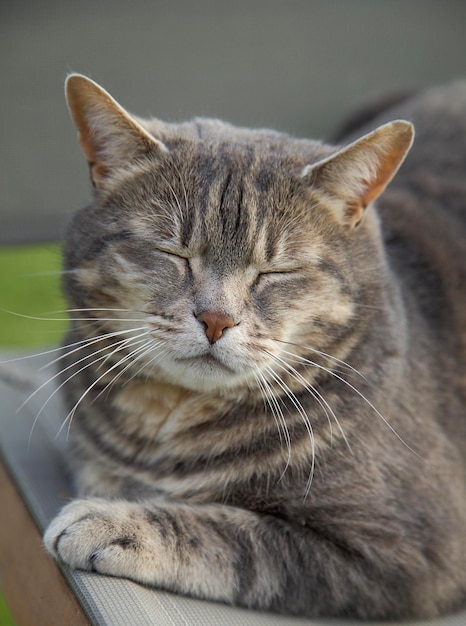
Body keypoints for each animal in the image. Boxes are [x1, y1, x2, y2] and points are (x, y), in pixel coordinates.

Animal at [43, 75, 466, 616]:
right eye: (172, 252)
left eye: (276, 271)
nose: (216, 319)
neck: (170, 421)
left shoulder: (407, 553)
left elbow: (234, 535)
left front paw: (112, 521)